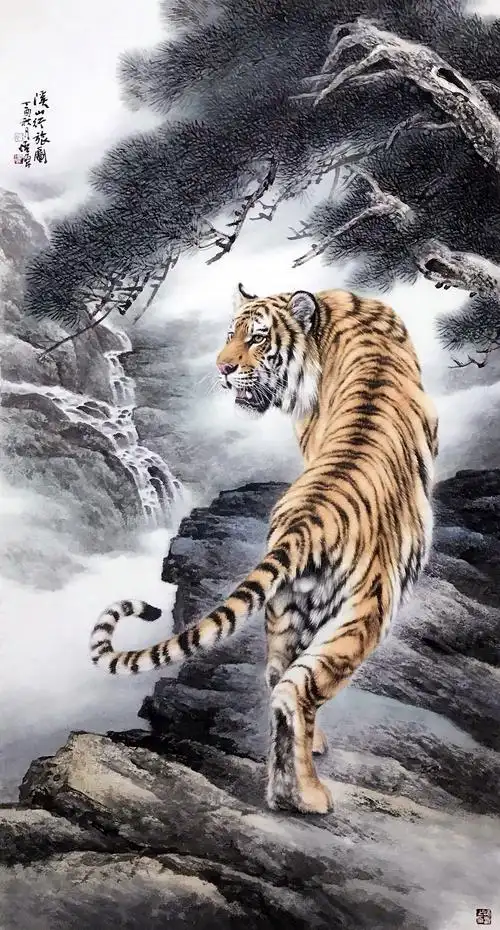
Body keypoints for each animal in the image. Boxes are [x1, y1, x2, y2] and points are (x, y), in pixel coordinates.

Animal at [90, 283, 439, 815]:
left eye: (255, 338)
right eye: (229, 335)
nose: (222, 368)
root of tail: (308, 518)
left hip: (289, 607)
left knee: (278, 678)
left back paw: (283, 789)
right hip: (364, 614)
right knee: (297, 690)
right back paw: (310, 796)